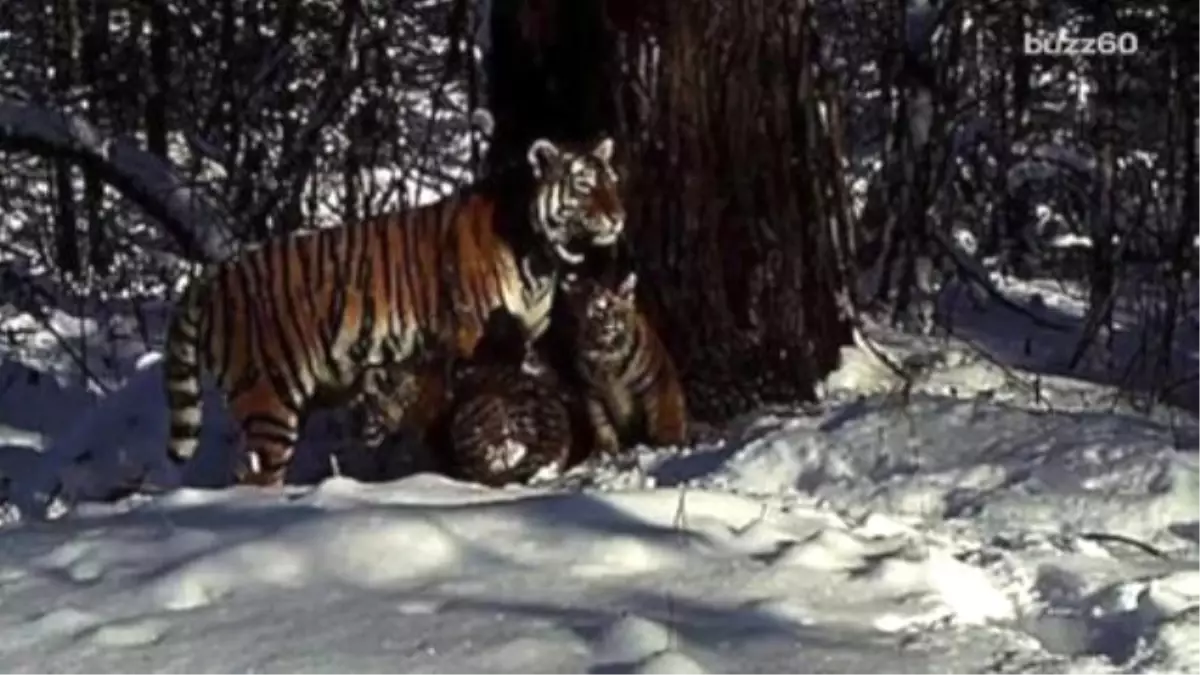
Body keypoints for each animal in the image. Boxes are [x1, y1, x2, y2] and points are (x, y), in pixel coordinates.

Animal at [164, 136, 624, 482]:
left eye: (612, 182)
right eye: (584, 186)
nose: (619, 217)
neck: (541, 256)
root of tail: (212, 278)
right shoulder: (472, 337)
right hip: (267, 397)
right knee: (256, 476)